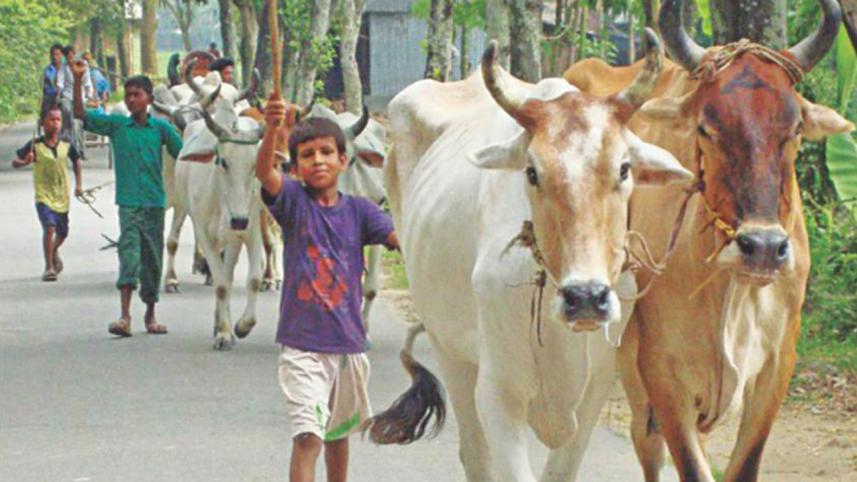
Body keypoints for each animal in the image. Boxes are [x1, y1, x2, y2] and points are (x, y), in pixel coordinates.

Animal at [368, 33, 693, 482]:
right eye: (533, 171)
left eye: (624, 168)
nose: (586, 298)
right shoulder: (499, 394)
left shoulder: (593, 391)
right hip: (448, 346)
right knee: (474, 453)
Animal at [563, 1, 854, 481]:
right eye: (706, 128)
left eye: (794, 129)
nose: (763, 247)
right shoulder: (662, 372)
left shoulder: (776, 369)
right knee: (641, 443)